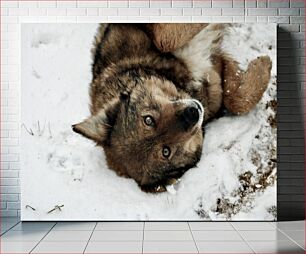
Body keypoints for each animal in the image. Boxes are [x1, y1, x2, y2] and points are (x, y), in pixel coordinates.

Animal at [72, 23, 272, 192]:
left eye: (148, 120)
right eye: (166, 152)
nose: (192, 114)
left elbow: (166, 39)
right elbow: (237, 102)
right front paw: (265, 63)